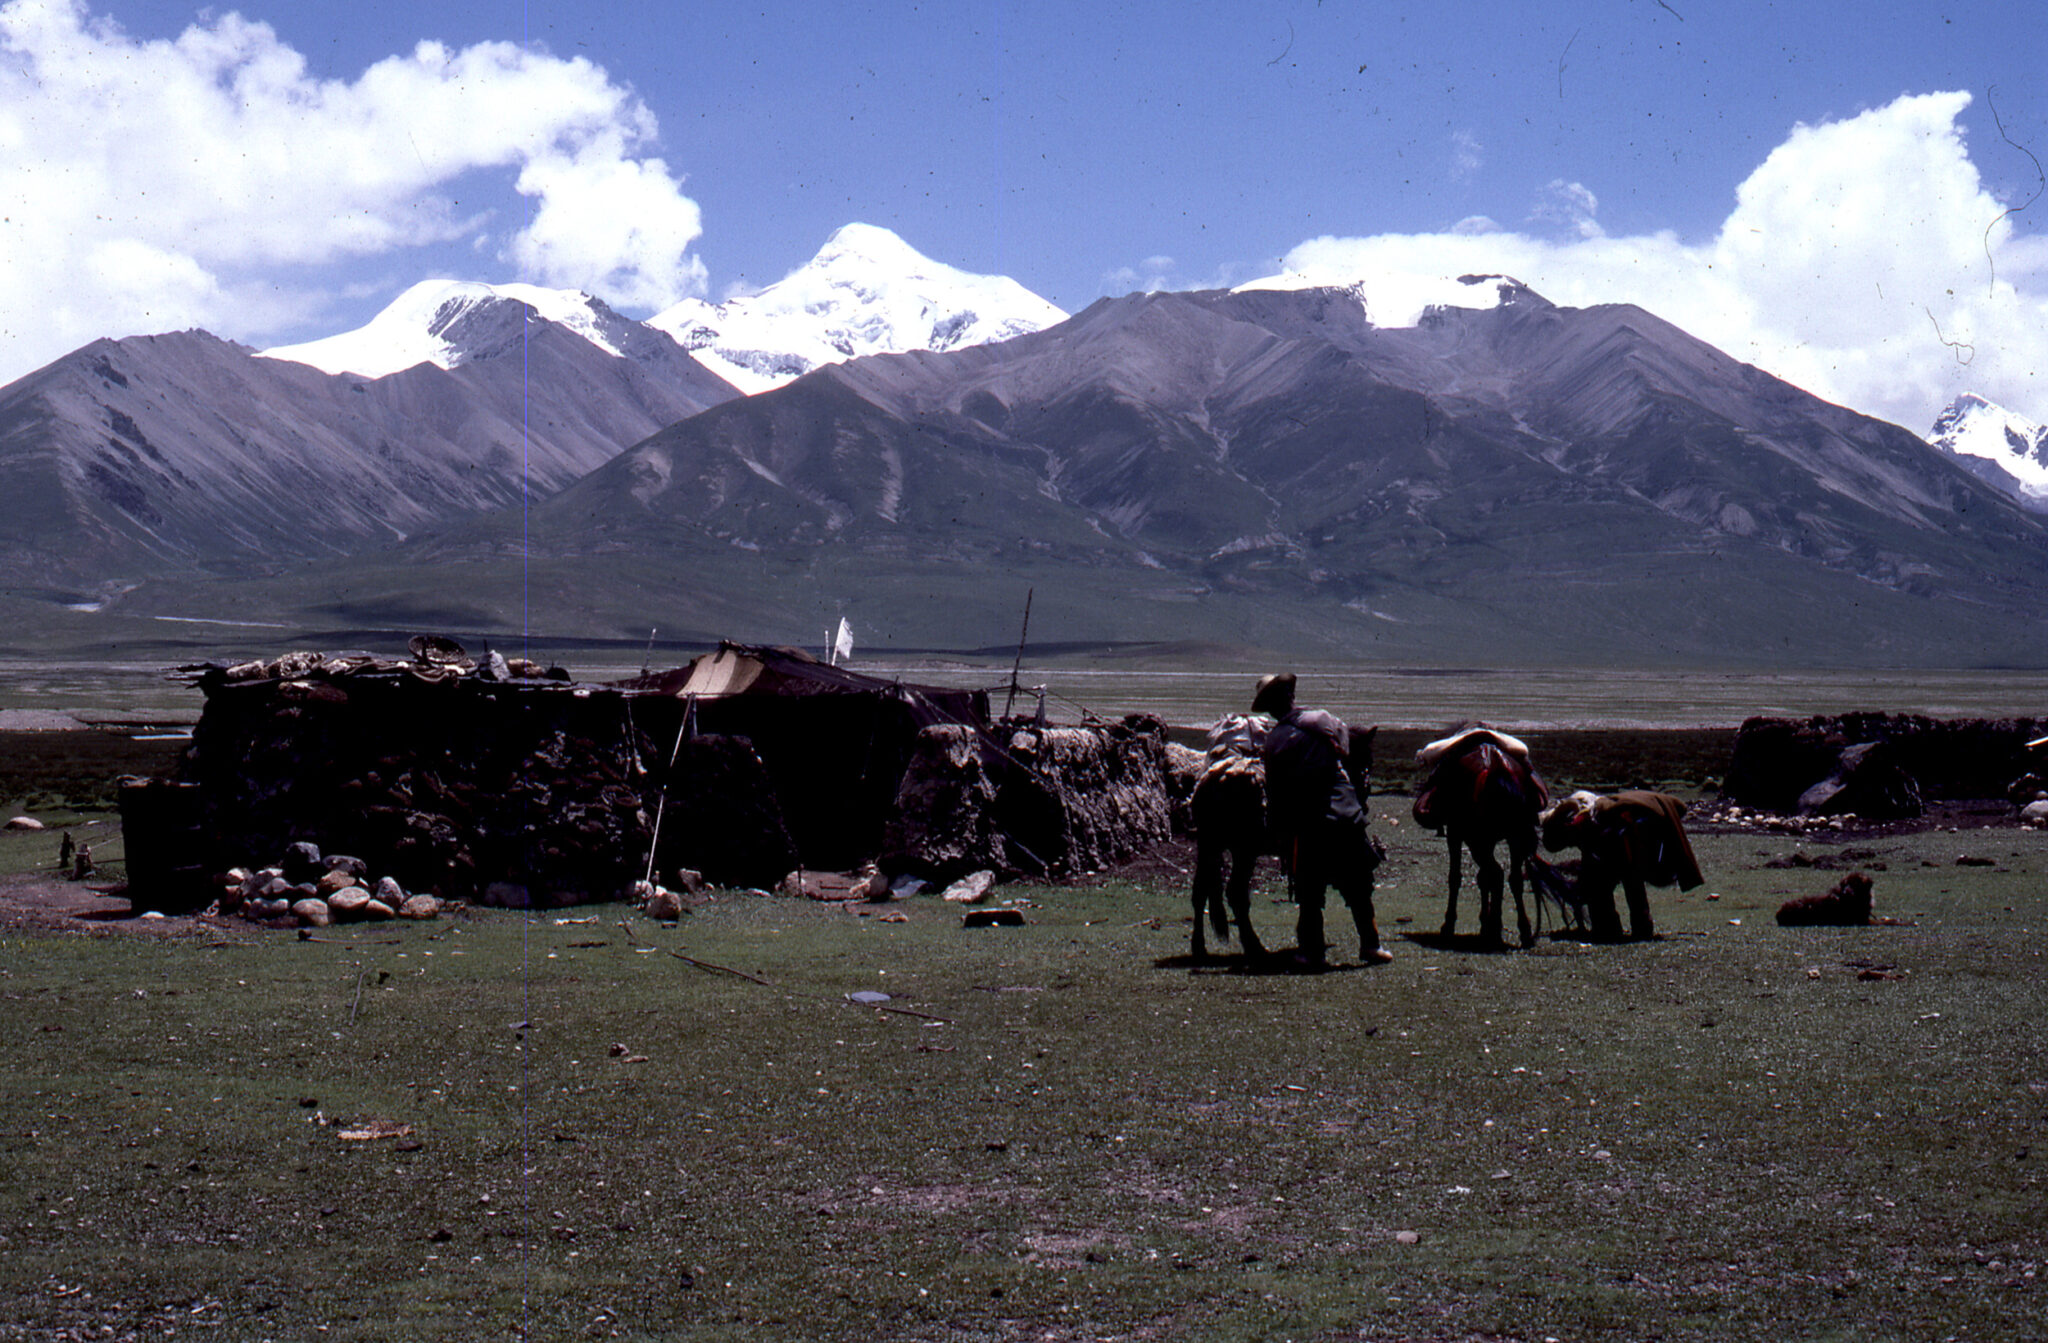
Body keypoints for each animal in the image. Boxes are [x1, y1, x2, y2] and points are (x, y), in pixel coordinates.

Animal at [1417, 728, 1540, 949]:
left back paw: (1495, 929)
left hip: (1475, 839)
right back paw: (1521, 931)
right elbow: (1485, 878)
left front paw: (1449, 925)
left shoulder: (1457, 835)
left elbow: (1456, 877)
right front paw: (1486, 924)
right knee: (1512, 877)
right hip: (1510, 837)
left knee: (1496, 873)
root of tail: (1494, 765)